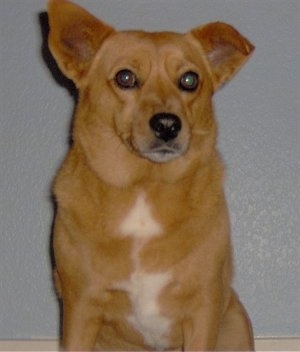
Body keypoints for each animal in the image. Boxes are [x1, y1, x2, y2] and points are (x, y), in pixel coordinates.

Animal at [48, 0, 254, 350]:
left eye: (189, 79)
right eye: (125, 77)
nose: (168, 125)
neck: (145, 185)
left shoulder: (202, 309)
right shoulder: (81, 309)